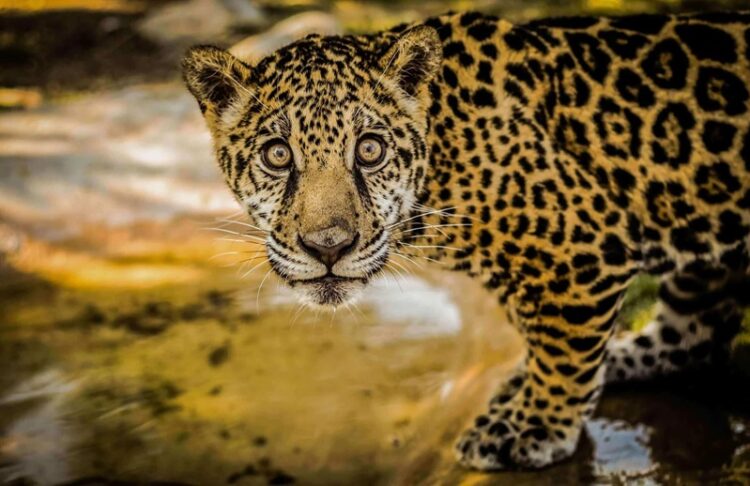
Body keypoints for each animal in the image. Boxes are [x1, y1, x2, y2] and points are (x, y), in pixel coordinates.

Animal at [182, 10, 750, 471]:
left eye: (369, 150)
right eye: (278, 155)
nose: (328, 247)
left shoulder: (582, 250)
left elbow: (562, 349)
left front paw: (535, 426)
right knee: (694, 337)